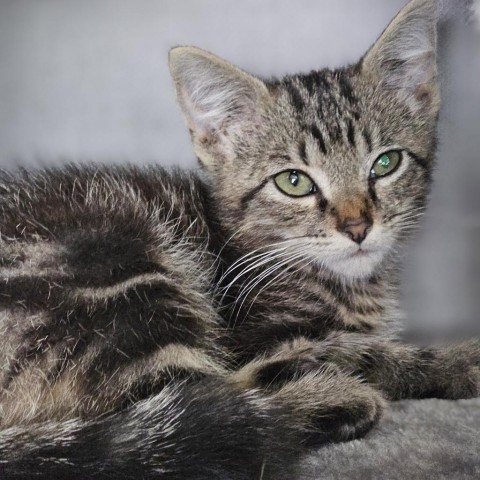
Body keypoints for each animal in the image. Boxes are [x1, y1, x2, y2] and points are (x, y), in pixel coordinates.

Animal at [0, 0, 480, 478]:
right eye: (293, 182)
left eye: (385, 163)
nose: (357, 226)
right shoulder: (261, 334)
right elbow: (358, 350)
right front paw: (459, 359)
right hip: (121, 265)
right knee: (211, 408)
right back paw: (330, 401)